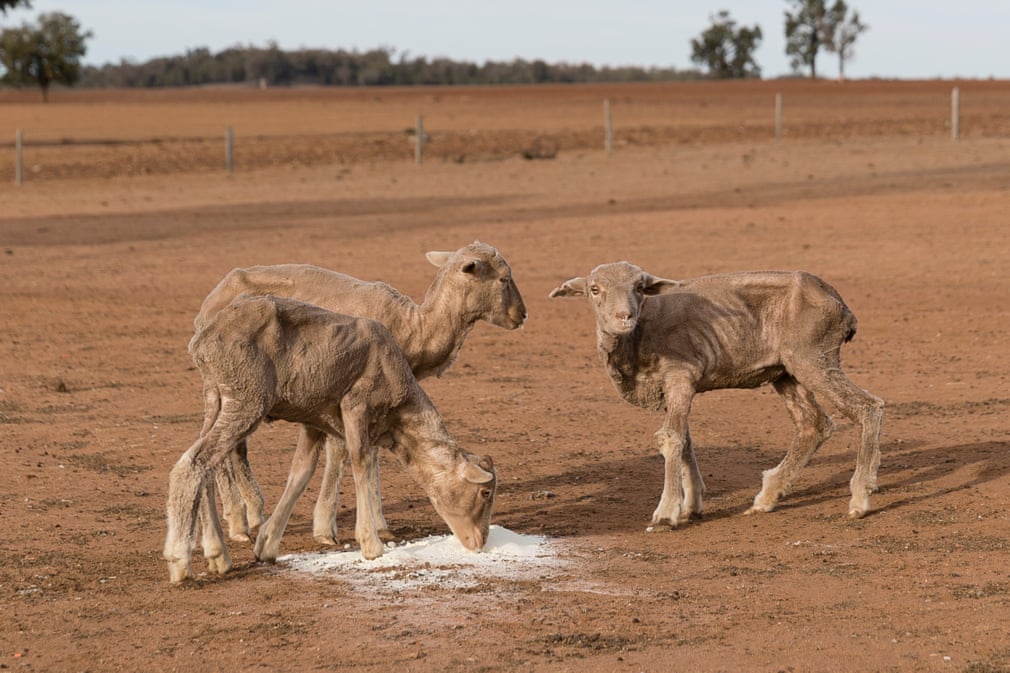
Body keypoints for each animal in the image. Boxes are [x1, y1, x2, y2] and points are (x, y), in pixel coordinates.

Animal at [165, 293, 496, 582]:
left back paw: (217, 555)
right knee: (193, 464)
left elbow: (300, 474)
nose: (480, 542)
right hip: (247, 399)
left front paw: (267, 545)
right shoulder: (355, 405)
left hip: (216, 397)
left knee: (205, 468)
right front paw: (371, 545)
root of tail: (204, 338)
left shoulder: (313, 421)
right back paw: (179, 562)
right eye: (485, 493)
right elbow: (361, 463)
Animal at [194, 241, 529, 545]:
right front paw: (328, 529)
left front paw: (378, 525)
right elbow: (343, 454)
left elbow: (372, 453)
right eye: (503, 278)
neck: (417, 327)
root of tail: (208, 307)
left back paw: (247, 515)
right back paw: (239, 522)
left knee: (232, 447)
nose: (522, 315)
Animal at [553, 258, 884, 525]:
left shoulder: (680, 376)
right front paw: (691, 506)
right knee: (813, 424)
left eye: (639, 288)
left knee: (868, 407)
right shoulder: (672, 389)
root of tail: (838, 302)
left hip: (813, 357)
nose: (624, 316)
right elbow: (685, 441)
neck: (638, 337)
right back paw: (767, 497)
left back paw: (859, 498)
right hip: (786, 370)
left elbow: (671, 439)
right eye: (594, 289)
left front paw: (666, 513)